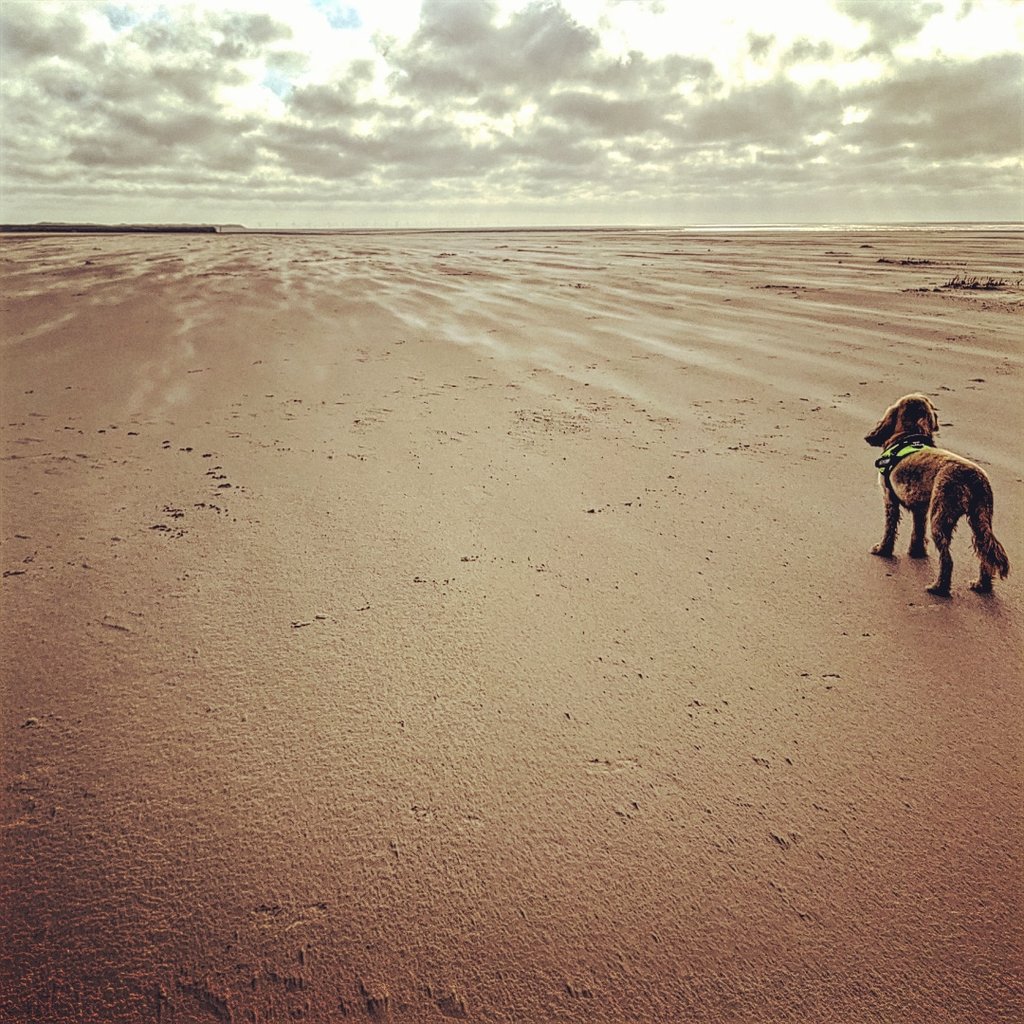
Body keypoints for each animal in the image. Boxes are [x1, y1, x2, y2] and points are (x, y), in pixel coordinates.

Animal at [864, 393, 1007, 598]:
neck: (908, 435)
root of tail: (972, 478)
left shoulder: (889, 499)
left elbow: (889, 529)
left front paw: (882, 550)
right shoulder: (920, 508)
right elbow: (917, 531)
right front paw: (916, 552)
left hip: (941, 518)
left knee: (947, 559)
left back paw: (939, 587)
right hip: (980, 518)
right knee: (985, 553)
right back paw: (982, 585)